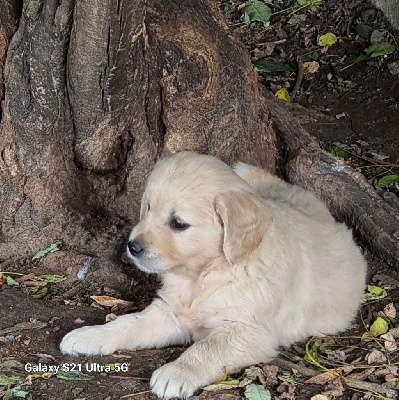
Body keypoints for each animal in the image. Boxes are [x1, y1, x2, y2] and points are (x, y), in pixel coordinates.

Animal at [61, 152, 368, 398]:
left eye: (178, 223)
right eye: (147, 208)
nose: (132, 246)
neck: (206, 274)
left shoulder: (248, 331)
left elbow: (206, 348)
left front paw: (175, 373)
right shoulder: (170, 314)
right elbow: (128, 323)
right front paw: (90, 335)